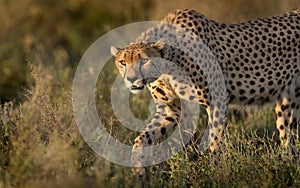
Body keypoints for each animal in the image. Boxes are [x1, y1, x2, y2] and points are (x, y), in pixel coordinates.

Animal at [110, 9, 300, 164]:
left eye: (145, 60)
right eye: (123, 62)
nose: (131, 79)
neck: (168, 65)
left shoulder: (217, 101)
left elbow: (215, 142)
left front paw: (215, 171)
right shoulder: (170, 109)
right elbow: (142, 138)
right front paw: (138, 168)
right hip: (287, 101)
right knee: (288, 138)